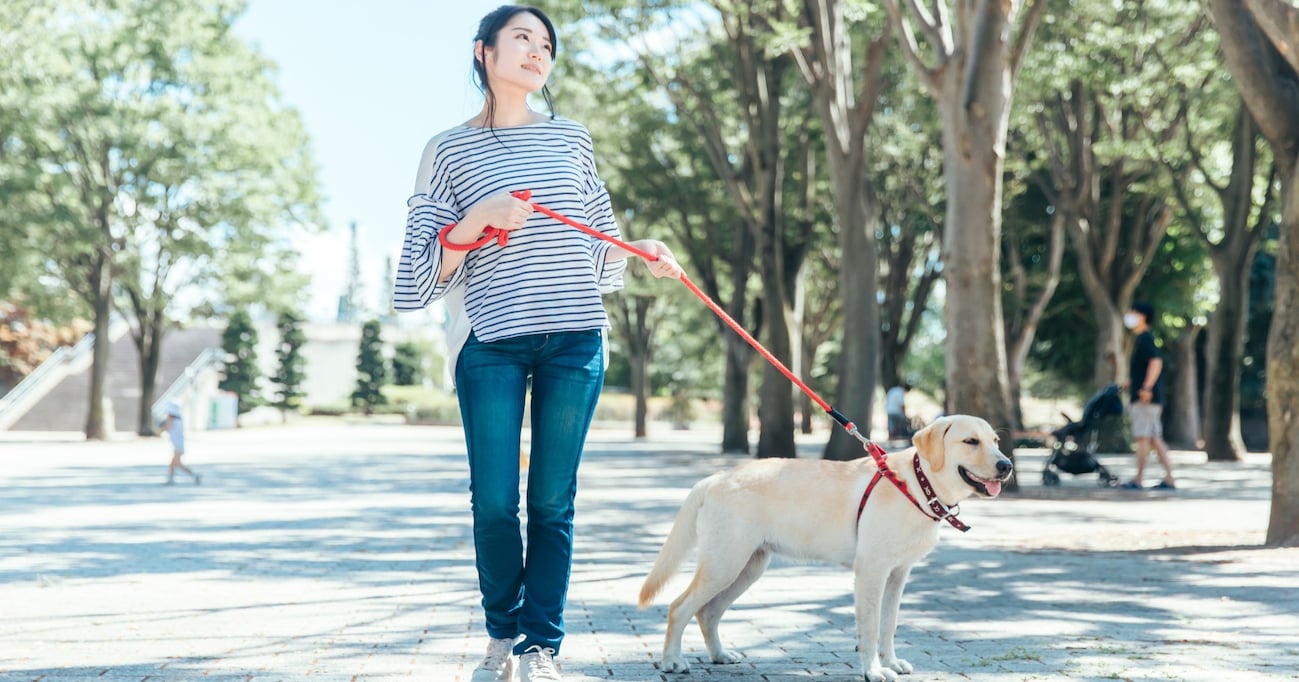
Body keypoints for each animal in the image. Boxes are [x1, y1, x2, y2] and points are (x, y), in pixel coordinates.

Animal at [639, 413, 1013, 675]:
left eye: (995, 440)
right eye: (970, 441)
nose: (1007, 465)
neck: (918, 485)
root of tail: (715, 478)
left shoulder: (897, 575)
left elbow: (889, 624)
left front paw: (890, 662)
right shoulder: (871, 572)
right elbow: (870, 627)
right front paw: (873, 671)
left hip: (747, 567)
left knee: (708, 612)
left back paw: (719, 655)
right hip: (724, 563)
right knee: (680, 607)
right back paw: (672, 662)